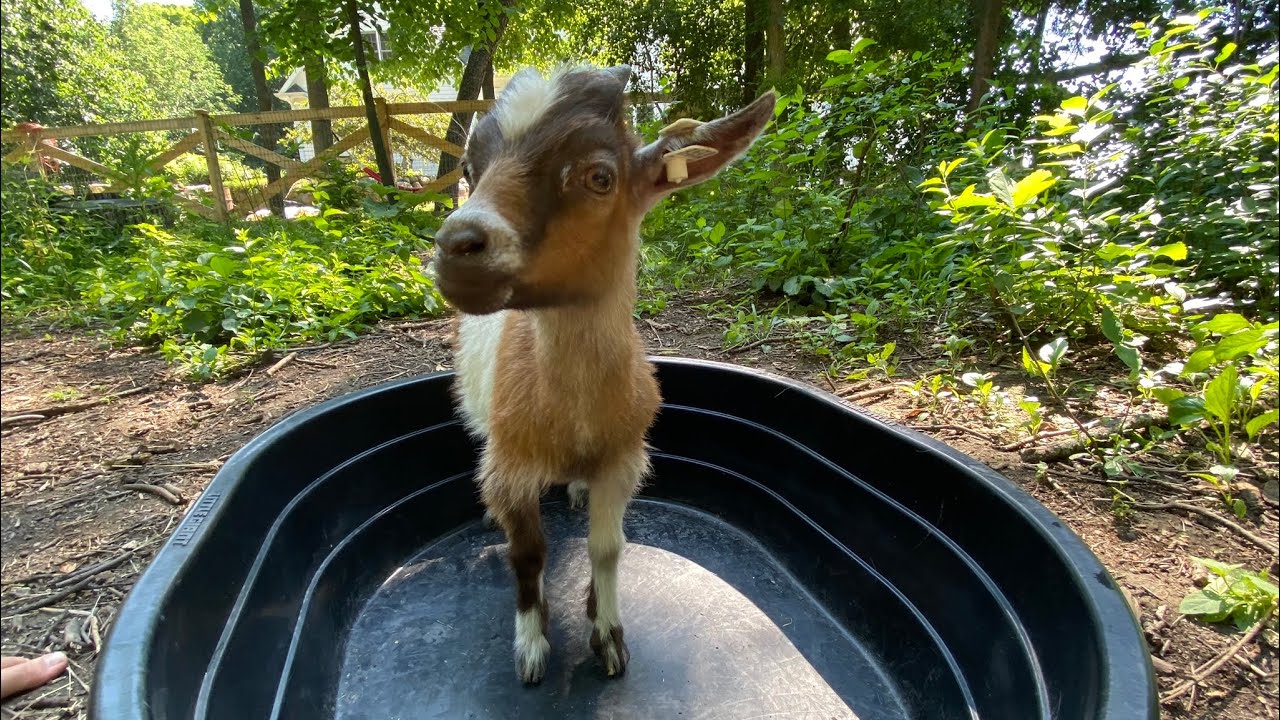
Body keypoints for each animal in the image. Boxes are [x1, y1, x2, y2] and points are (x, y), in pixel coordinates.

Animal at [432, 64, 776, 685]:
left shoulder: (623, 459)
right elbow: (527, 554)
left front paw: (610, 637)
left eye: (599, 176)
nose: (455, 246)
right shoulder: (509, 466)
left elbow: (607, 548)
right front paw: (531, 648)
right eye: (469, 170)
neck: (575, 417)